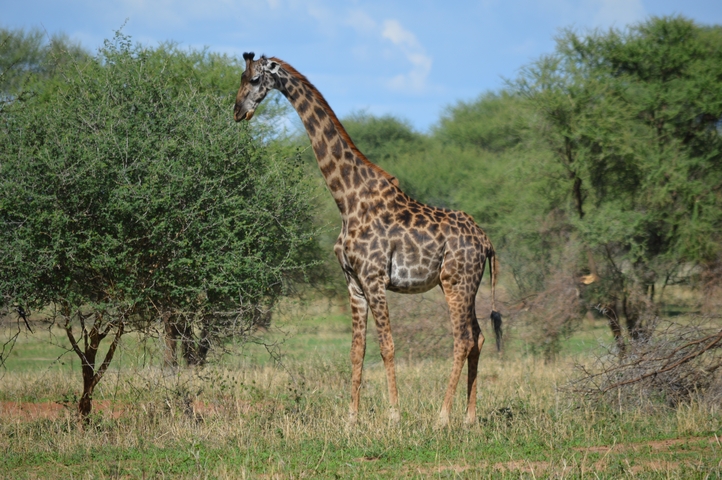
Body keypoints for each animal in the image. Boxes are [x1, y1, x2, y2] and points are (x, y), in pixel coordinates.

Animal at [234, 53, 502, 426]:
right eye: (241, 78)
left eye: (256, 80)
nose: (237, 111)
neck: (347, 198)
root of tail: (487, 242)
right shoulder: (353, 281)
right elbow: (356, 350)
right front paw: (351, 418)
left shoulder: (374, 277)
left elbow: (387, 345)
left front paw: (394, 415)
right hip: (468, 285)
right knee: (477, 337)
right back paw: (469, 418)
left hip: (456, 282)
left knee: (462, 339)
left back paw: (442, 417)